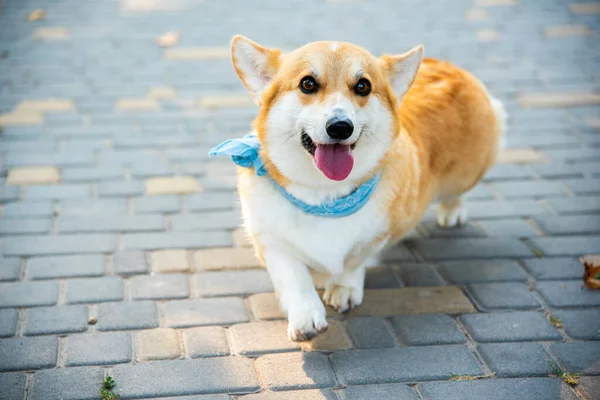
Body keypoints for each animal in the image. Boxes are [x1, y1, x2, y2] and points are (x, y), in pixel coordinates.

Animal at [216, 34, 506, 342]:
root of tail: (451, 67)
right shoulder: (270, 241)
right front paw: (307, 317)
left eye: (363, 86)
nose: (340, 127)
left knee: (457, 192)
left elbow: (354, 261)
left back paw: (453, 211)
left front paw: (344, 288)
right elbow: (294, 278)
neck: (323, 197)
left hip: (469, 170)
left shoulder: (377, 234)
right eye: (308, 83)